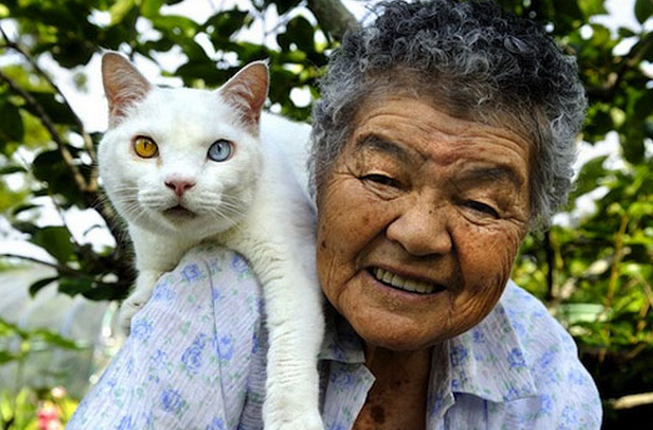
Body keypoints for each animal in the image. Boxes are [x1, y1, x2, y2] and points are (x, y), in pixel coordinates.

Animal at [98, 53, 324, 430]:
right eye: (145, 147)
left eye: (219, 151)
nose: (179, 182)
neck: (192, 238)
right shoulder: (151, 245)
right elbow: (150, 273)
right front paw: (134, 305)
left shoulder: (291, 259)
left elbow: (290, 345)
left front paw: (293, 420)